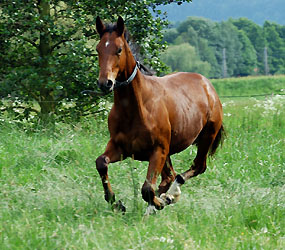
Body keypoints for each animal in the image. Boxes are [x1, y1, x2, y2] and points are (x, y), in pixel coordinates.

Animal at [94, 16, 223, 215]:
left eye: (119, 49)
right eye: (98, 49)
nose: (104, 83)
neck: (136, 109)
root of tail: (207, 84)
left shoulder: (158, 150)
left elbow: (147, 188)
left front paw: (160, 202)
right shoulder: (120, 147)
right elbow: (101, 162)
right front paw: (116, 203)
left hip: (206, 137)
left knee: (195, 168)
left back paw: (170, 195)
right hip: (169, 152)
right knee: (169, 177)